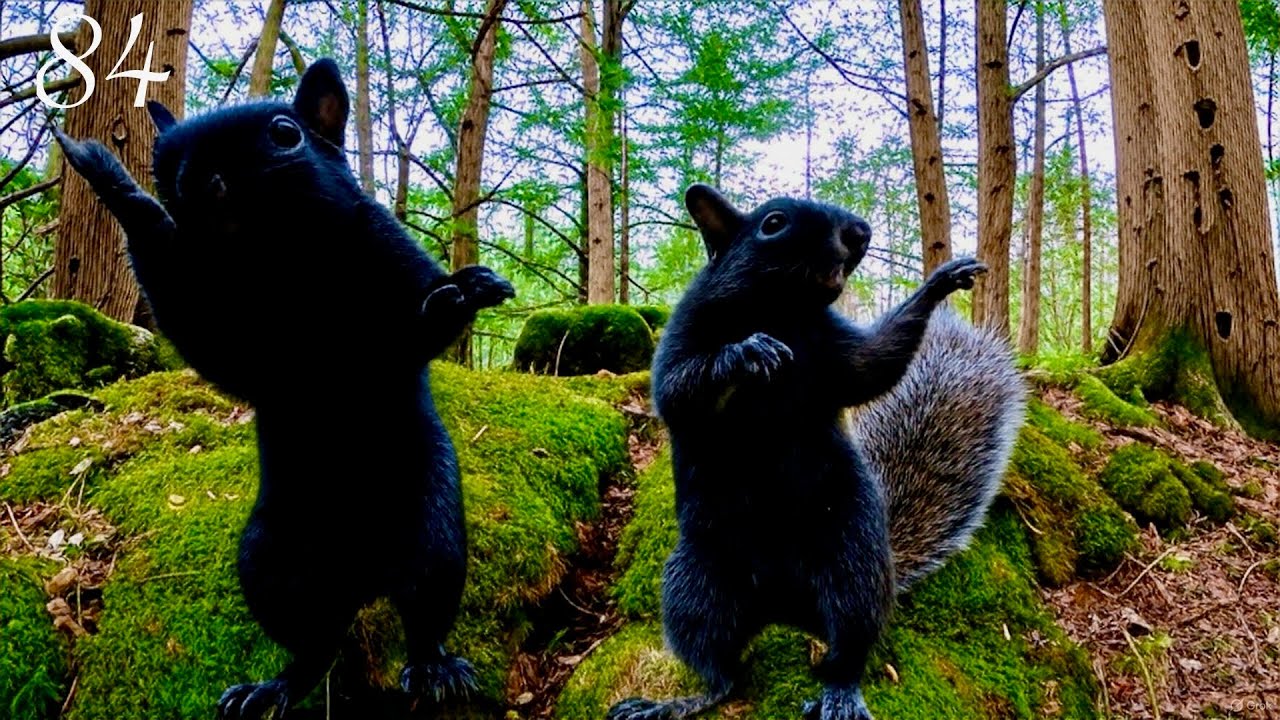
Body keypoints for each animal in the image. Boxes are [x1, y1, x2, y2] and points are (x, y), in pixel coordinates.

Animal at [54, 59, 514, 719]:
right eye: (162, 159)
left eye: (285, 134)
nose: (198, 179)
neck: (285, 260)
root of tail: (360, 576)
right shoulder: (226, 330)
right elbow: (202, 332)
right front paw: (112, 180)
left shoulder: (384, 256)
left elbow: (404, 334)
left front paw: (462, 293)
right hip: (270, 560)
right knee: (315, 642)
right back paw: (276, 687)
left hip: (431, 527)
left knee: (423, 606)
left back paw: (434, 668)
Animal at [607, 185, 1025, 720]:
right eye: (773, 223)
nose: (859, 232)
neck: (782, 312)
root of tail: (785, 607)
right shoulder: (683, 336)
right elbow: (678, 388)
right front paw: (746, 352)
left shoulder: (836, 348)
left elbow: (874, 364)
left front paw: (940, 283)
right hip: (695, 584)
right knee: (721, 672)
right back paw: (675, 702)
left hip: (852, 559)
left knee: (845, 646)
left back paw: (839, 694)